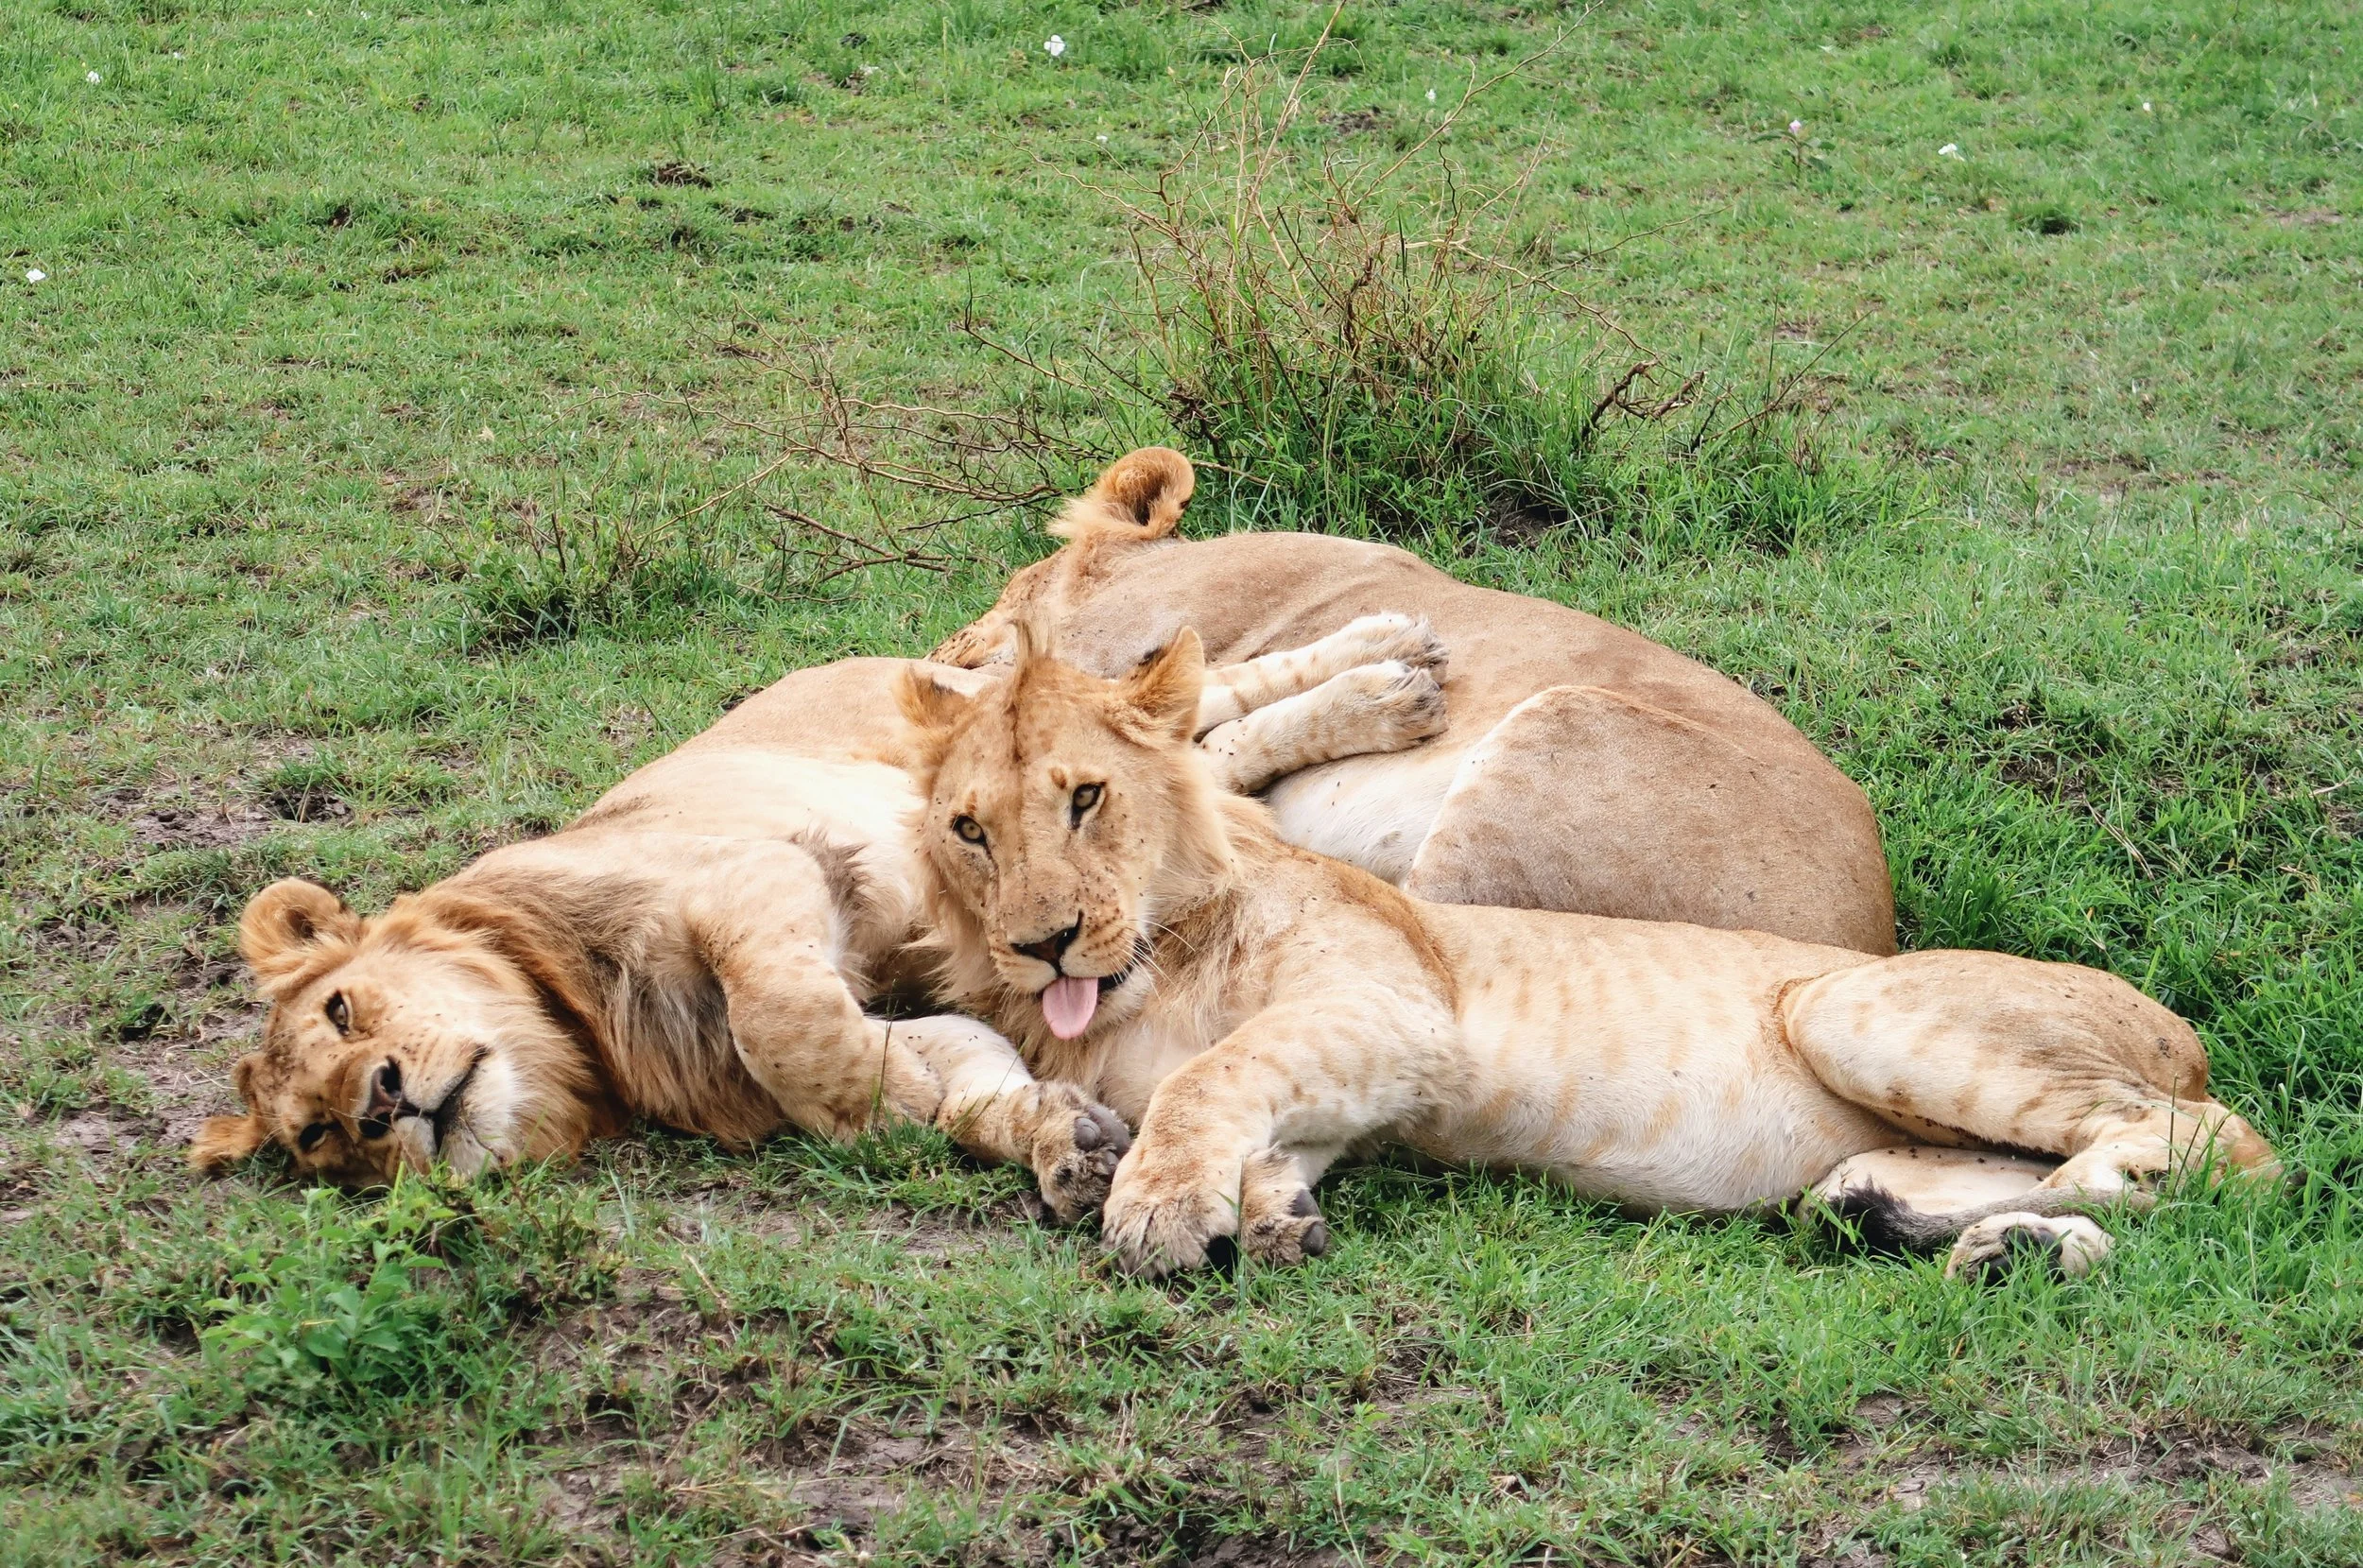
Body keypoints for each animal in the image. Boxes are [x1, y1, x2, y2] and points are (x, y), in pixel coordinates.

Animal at [189, 615, 1453, 1215]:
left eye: (345, 1008)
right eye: (315, 1139)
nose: (380, 1106)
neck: (583, 1035)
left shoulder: (760, 873)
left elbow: (786, 1022)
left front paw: (878, 1091)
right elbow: (964, 1073)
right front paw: (1053, 1136)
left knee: (1184, 708)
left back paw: (1391, 667)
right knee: (1204, 751)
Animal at [897, 623, 2283, 1279]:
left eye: (1085, 799)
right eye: (970, 830)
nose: (1041, 942)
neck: (1154, 965)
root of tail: (2185, 1029)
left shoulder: (1402, 1012)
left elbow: (1210, 1076)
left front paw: (1163, 1207)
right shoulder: (1359, 1072)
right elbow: (1259, 1116)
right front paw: (1270, 1206)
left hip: (1851, 1007)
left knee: (2225, 1150)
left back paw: (2068, 1206)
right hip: (1881, 1129)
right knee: (1997, 1185)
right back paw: (1972, 1241)